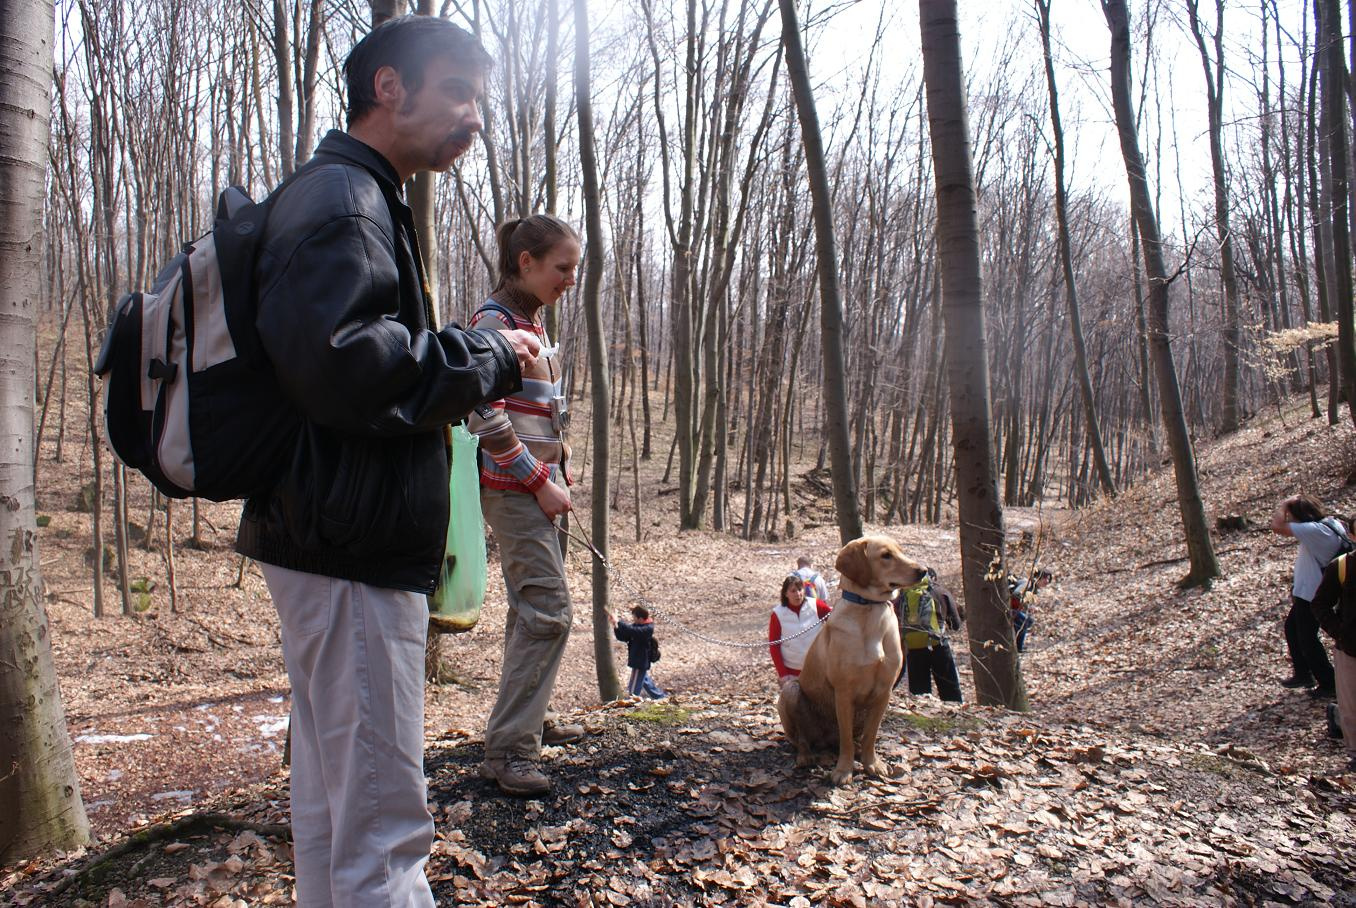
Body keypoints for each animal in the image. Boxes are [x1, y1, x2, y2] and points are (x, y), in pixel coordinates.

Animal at [781, 536, 927, 786]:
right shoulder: (844, 691)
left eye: (900, 550)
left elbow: (871, 735)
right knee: (802, 738)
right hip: (790, 690)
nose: (923, 571)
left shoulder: (884, 692)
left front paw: (872, 763)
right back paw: (805, 756)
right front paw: (843, 770)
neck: (870, 610)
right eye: (886, 555)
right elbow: (846, 739)